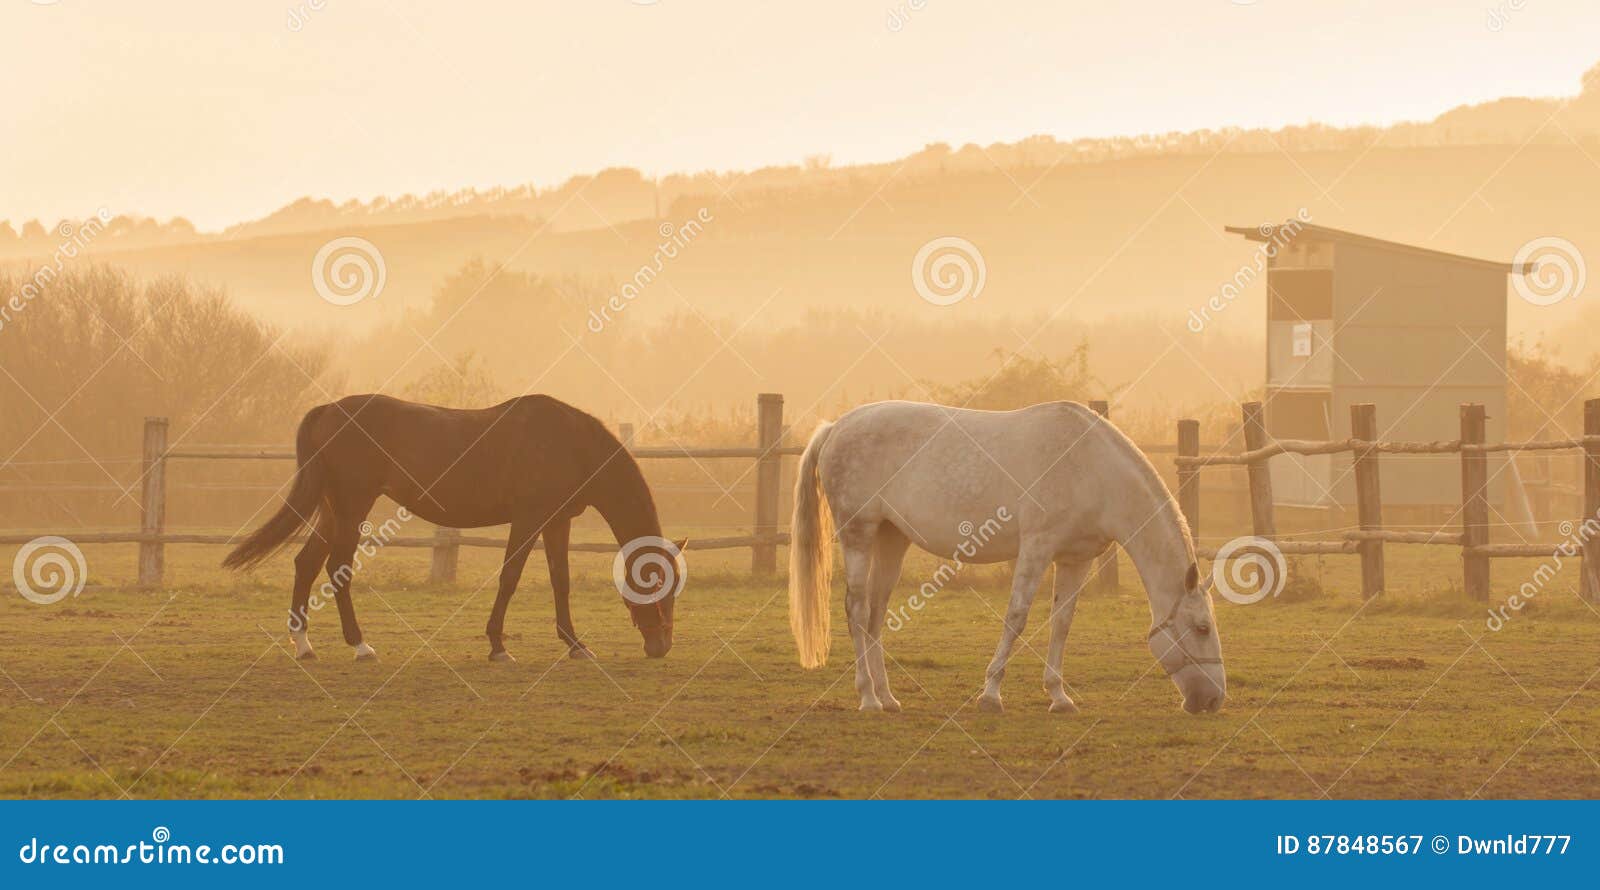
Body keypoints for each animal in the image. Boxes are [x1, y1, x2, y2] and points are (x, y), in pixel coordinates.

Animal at [222, 394, 686, 662]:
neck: (570, 442)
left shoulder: (556, 522)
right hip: (353, 507)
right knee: (337, 567)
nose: (661, 645)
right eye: (656, 582)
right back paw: (359, 645)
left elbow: (561, 580)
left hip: (332, 509)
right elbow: (509, 578)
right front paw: (497, 646)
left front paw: (575, 645)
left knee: (305, 564)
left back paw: (303, 644)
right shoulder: (529, 518)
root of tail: (328, 411)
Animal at [788, 400, 1225, 714]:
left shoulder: (1075, 559)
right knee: (857, 610)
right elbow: (1017, 618)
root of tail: (836, 427)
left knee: (876, 616)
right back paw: (868, 698)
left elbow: (1062, 623)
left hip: (891, 539)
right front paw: (991, 695)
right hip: (858, 535)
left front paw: (1059, 697)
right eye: (1202, 628)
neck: (1092, 470)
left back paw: (888, 697)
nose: (1214, 700)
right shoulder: (1036, 549)